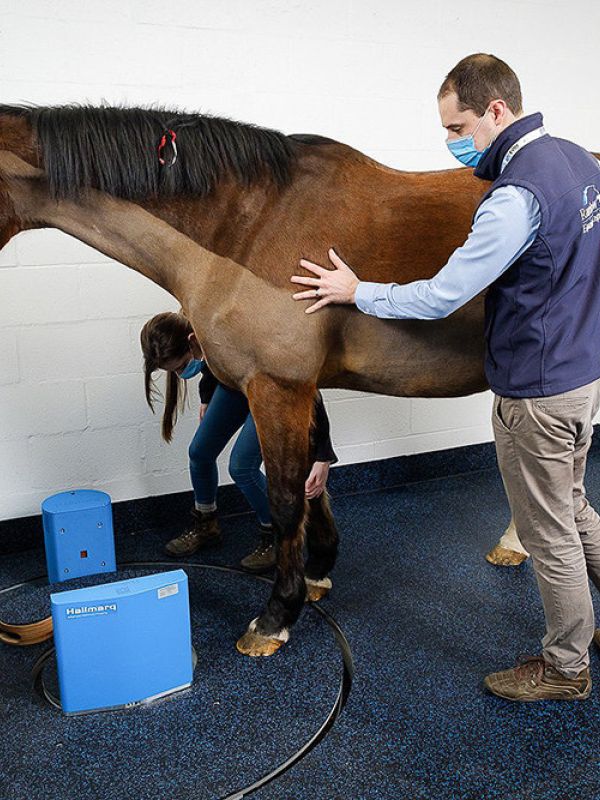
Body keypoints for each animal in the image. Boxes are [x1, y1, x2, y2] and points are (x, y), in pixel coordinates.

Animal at [0, 104, 592, 655]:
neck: (246, 228)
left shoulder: (276, 387)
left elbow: (287, 497)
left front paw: (277, 615)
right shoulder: (300, 389)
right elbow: (314, 480)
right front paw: (318, 570)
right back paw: (515, 543)